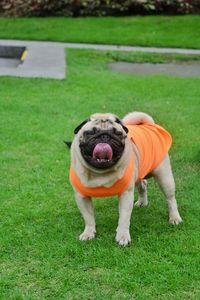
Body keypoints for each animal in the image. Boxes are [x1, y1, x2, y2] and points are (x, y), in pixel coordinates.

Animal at [68, 111, 182, 245]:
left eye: (117, 134)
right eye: (90, 133)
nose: (104, 136)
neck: (100, 172)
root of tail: (148, 124)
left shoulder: (126, 194)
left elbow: (124, 218)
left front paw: (122, 236)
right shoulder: (81, 197)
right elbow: (88, 218)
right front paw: (88, 233)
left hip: (164, 177)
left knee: (171, 199)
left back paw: (174, 218)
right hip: (138, 173)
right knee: (143, 186)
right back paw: (142, 202)